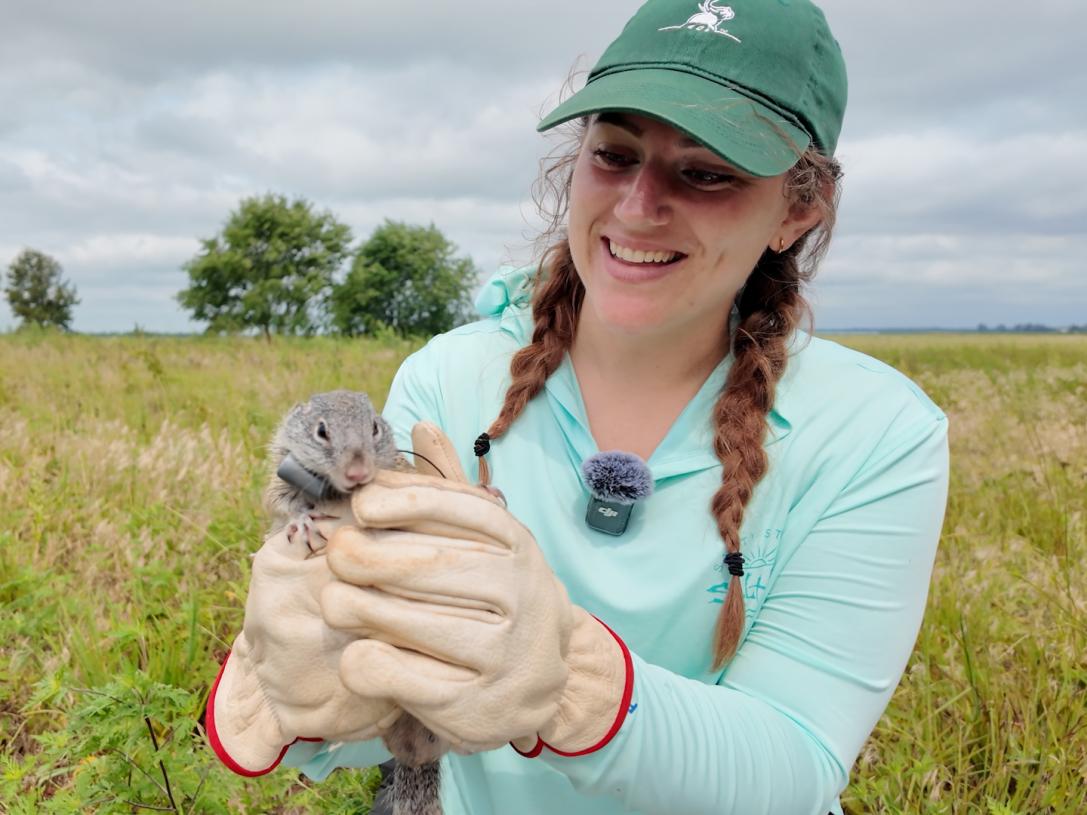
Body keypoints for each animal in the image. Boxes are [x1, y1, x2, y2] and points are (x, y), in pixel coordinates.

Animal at [264, 389, 448, 815]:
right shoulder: (282, 466)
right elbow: (282, 502)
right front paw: (302, 521)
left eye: (375, 427)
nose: (358, 472)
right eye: (321, 431)